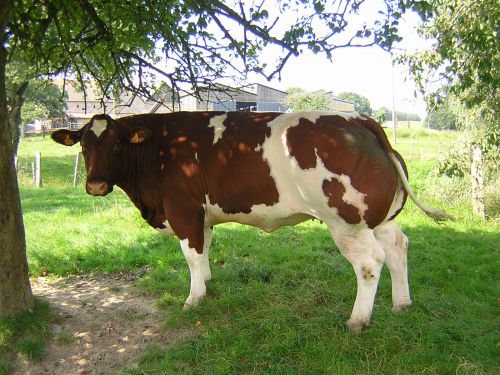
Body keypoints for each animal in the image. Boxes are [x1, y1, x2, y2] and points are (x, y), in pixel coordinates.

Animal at [51, 110, 454, 334]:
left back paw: (358, 321)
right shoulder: (202, 215)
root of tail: (360, 120)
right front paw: (207, 284)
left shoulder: (183, 210)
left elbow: (192, 255)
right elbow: (205, 250)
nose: (95, 185)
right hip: (378, 218)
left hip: (347, 225)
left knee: (370, 264)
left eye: (117, 144)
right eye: (84, 145)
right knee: (398, 247)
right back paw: (402, 304)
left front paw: (193, 298)